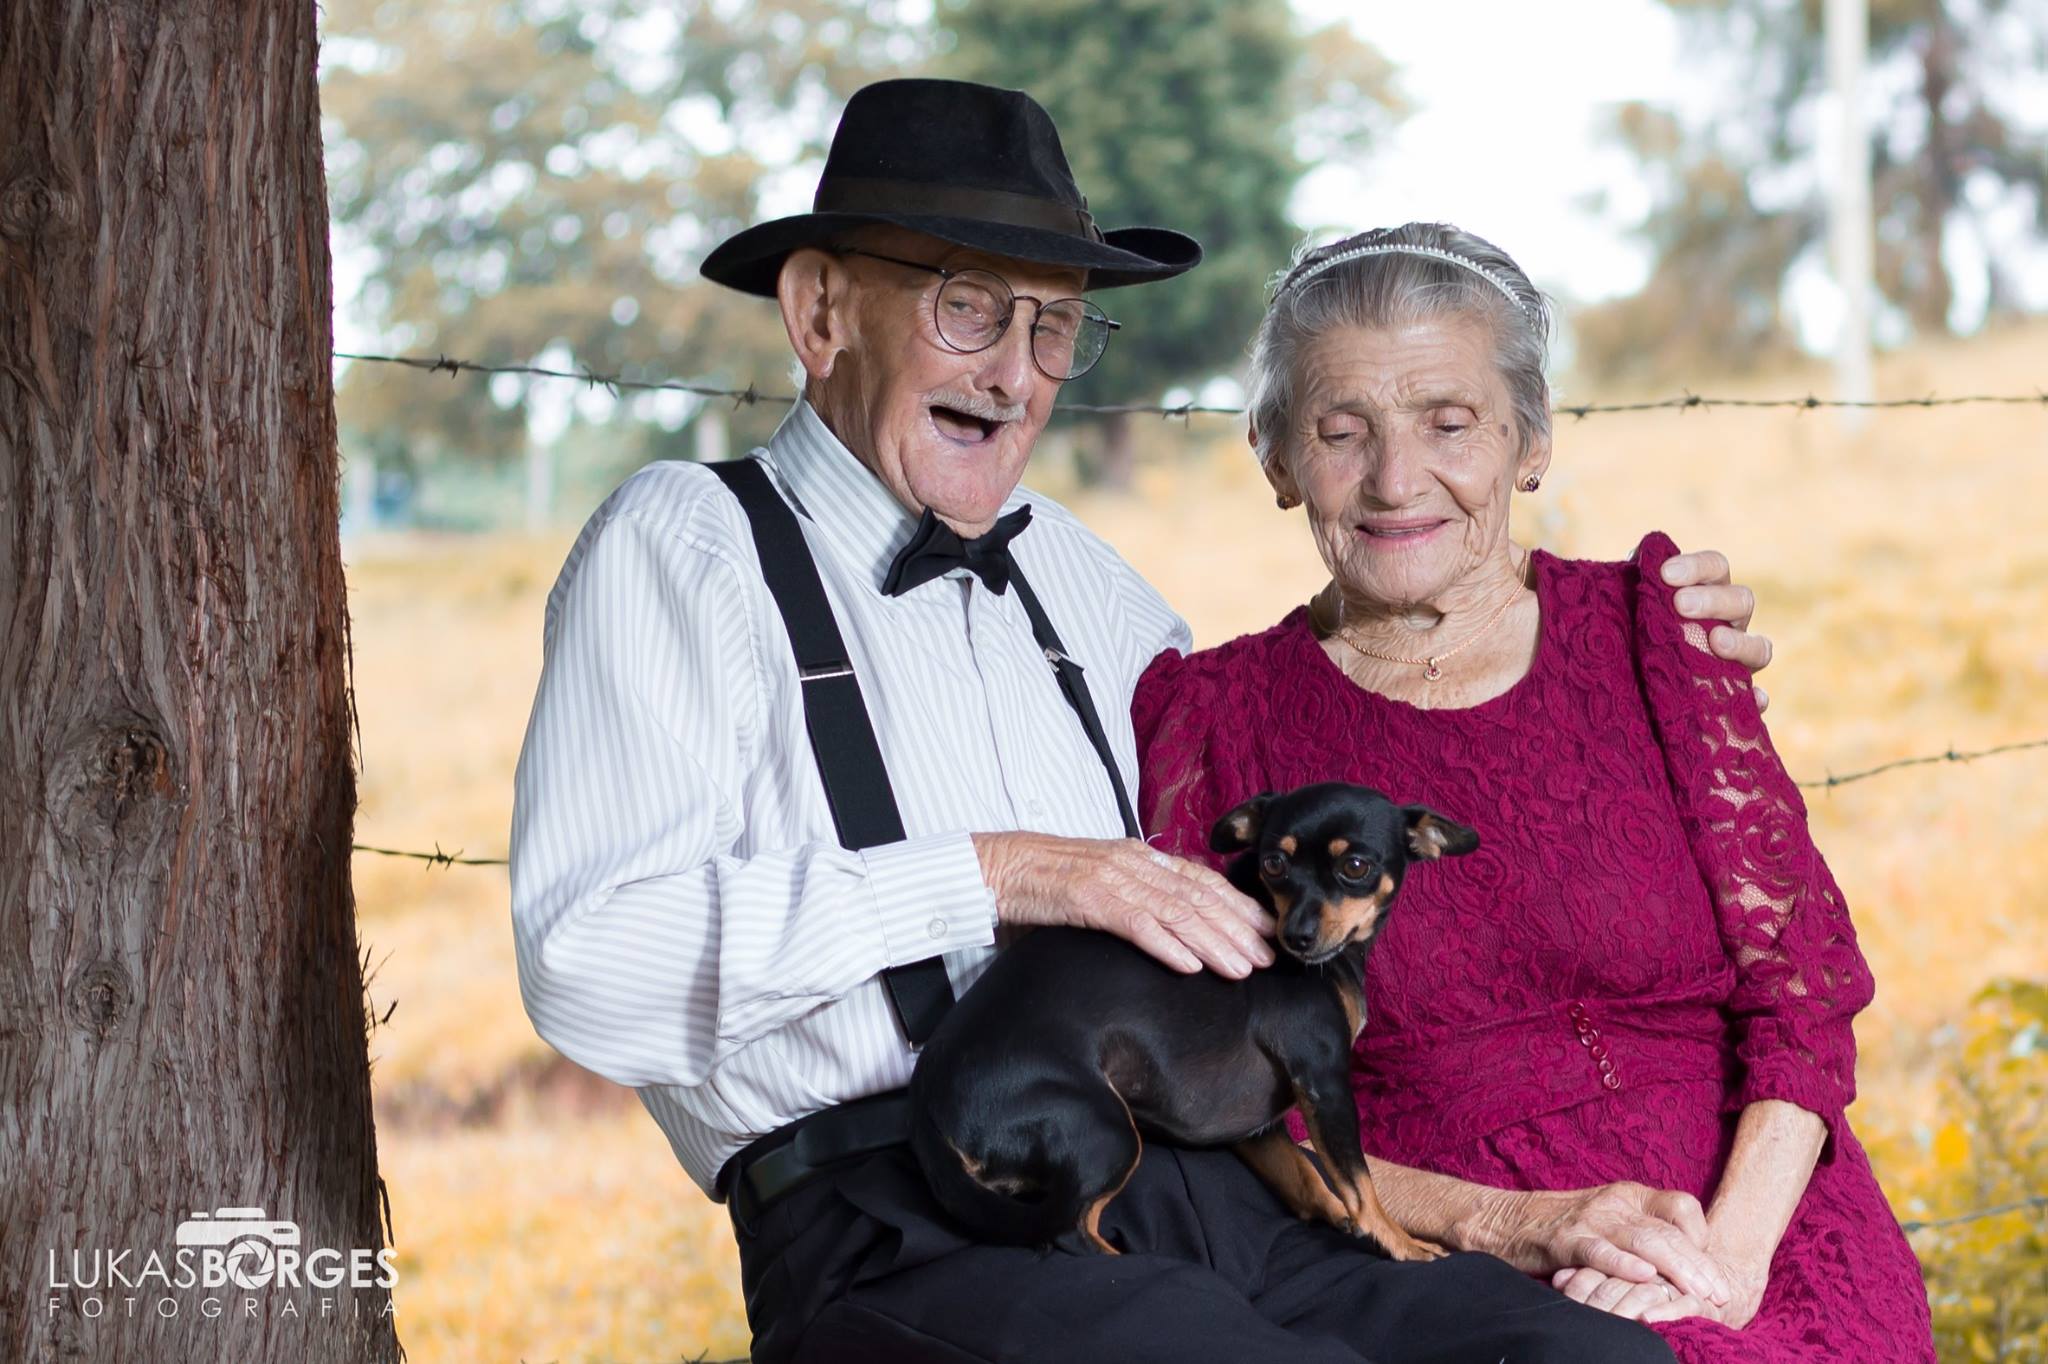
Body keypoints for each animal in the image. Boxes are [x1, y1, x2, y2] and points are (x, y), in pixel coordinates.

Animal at [909, 782, 1474, 1261]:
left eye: (1355, 866)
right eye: (1274, 862)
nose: (1296, 936)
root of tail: (926, 1114)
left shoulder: (1259, 1126)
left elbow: (1307, 1179)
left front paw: (1341, 1220)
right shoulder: (1323, 1080)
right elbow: (1358, 1181)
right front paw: (1400, 1242)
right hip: (1108, 1133)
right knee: (1071, 1233)